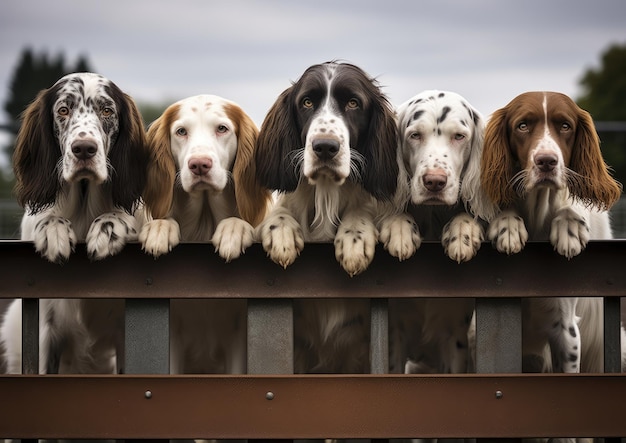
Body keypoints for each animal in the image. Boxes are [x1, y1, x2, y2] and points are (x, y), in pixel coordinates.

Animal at [0, 73, 148, 374]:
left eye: (107, 111)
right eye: (63, 110)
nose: (84, 149)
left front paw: (107, 229)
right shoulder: (46, 334)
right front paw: (53, 231)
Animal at [140, 96, 270, 374]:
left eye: (222, 128)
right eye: (181, 131)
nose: (199, 164)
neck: (205, 219)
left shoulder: (238, 338)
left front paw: (233, 229)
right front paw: (160, 228)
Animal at [252, 61, 394, 374]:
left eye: (353, 103)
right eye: (307, 102)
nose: (325, 147)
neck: (327, 194)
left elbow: (360, 211)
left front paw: (354, 240)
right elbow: (281, 212)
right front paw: (281, 234)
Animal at [380, 90, 492, 374]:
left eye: (459, 136)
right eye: (415, 135)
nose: (434, 181)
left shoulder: (454, 336)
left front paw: (462, 232)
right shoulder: (395, 336)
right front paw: (399, 229)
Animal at [478, 93, 620, 374]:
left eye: (565, 126)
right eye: (522, 126)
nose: (546, 161)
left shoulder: (565, 329)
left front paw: (569, 227)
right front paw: (508, 225)